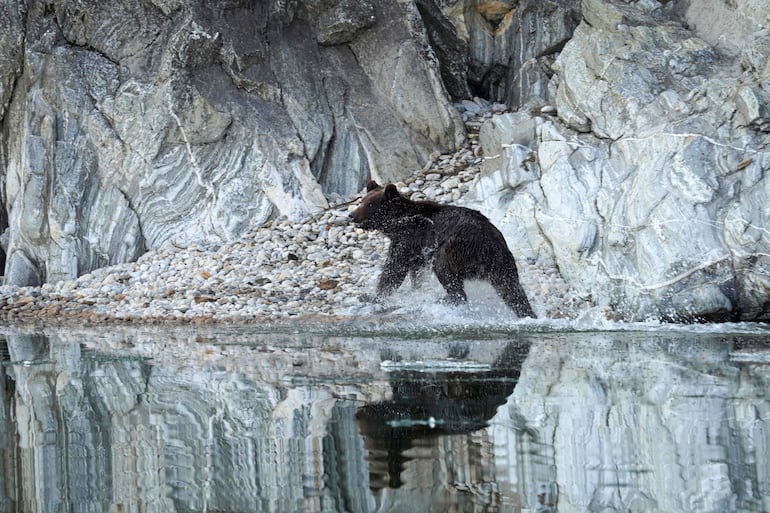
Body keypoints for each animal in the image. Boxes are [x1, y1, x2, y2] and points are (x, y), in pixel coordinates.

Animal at [349, 180, 536, 318]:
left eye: (370, 204)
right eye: (362, 200)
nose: (351, 214)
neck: (397, 223)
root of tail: (491, 245)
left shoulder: (409, 238)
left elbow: (394, 269)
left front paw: (371, 296)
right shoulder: (417, 251)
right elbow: (415, 272)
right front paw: (415, 288)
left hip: (457, 248)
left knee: (444, 269)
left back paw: (445, 299)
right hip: (502, 263)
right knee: (511, 288)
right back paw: (526, 311)